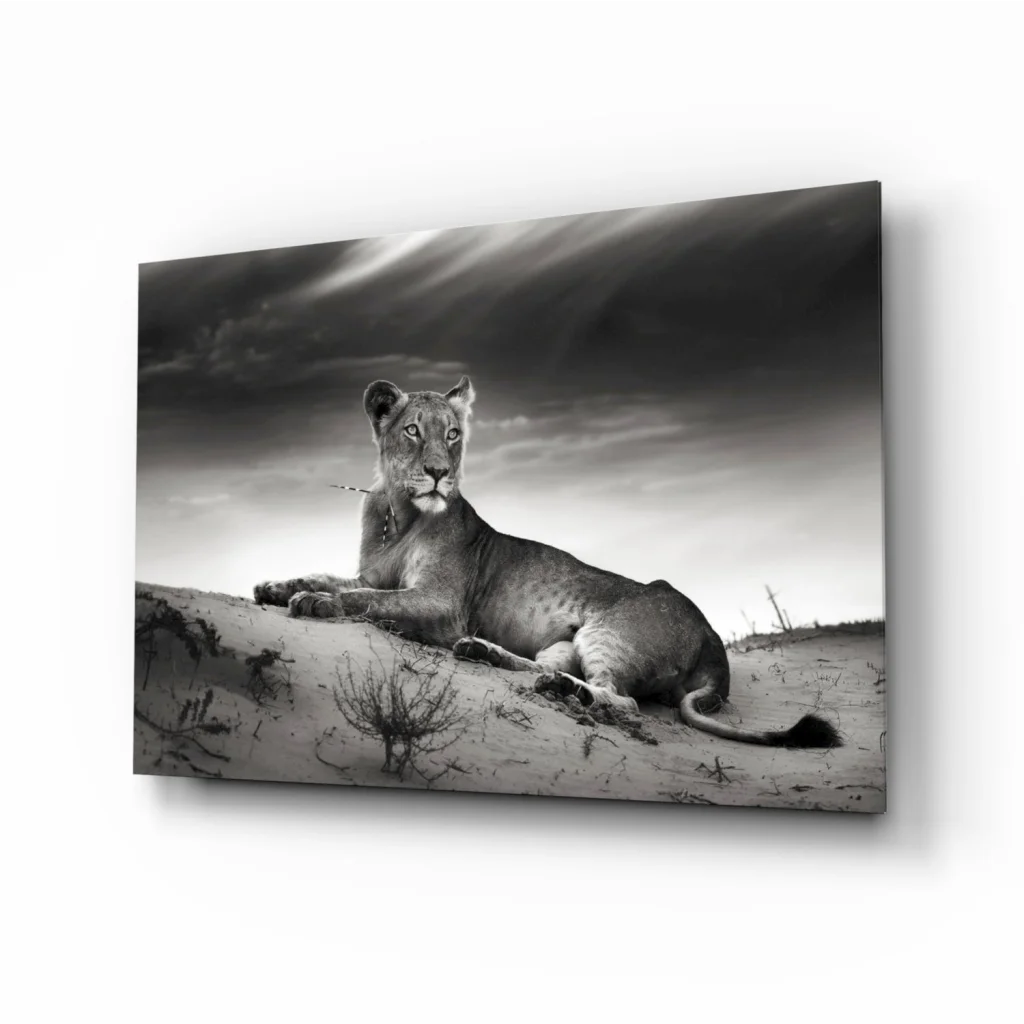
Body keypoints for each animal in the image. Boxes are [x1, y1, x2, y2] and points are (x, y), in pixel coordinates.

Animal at [253, 377, 840, 748]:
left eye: (453, 434)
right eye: (412, 430)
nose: (440, 473)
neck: (399, 513)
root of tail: (714, 637)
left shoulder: (442, 605)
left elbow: (365, 599)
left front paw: (314, 602)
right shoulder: (372, 573)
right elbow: (336, 578)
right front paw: (277, 587)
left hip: (608, 634)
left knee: (619, 701)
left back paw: (560, 689)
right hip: (565, 642)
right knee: (543, 667)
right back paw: (488, 655)